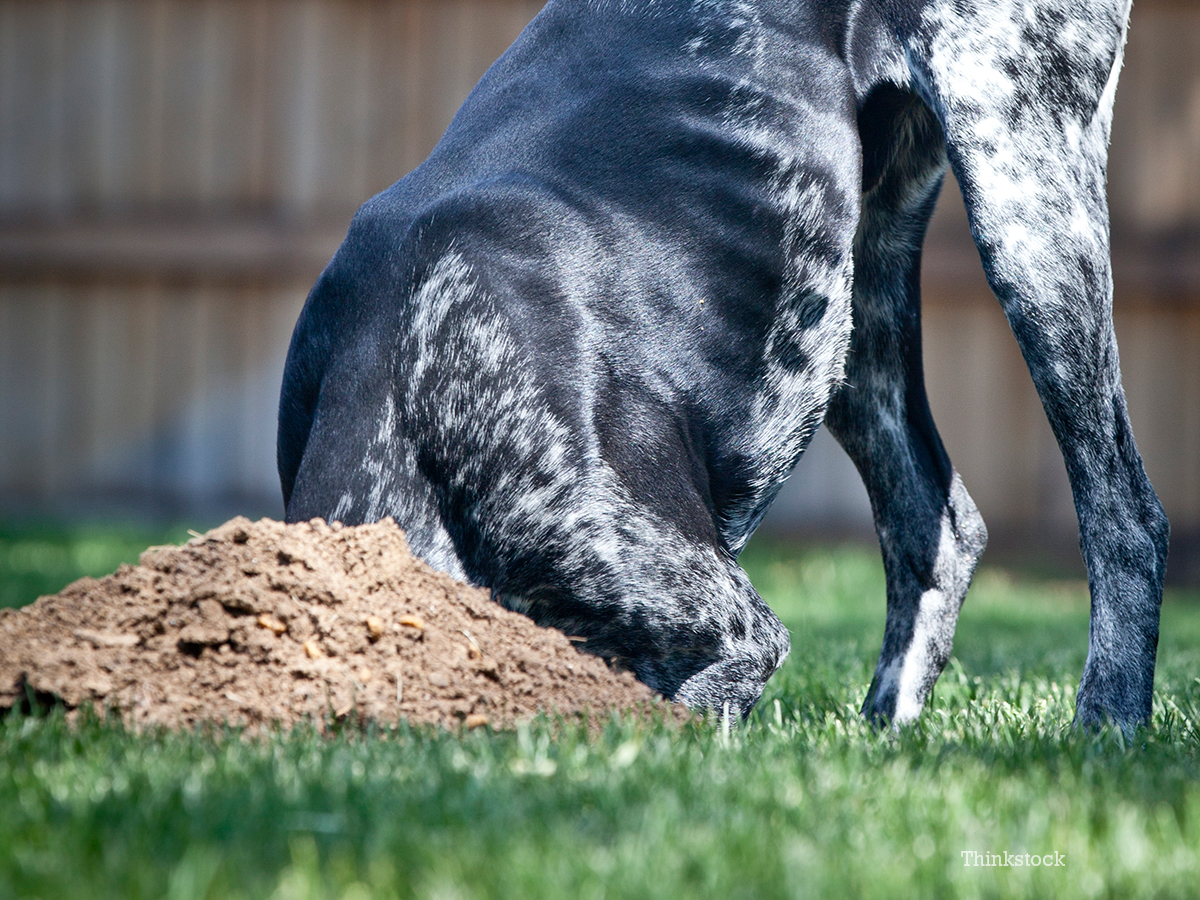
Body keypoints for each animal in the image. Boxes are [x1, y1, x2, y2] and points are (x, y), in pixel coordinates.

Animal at [276, 0, 1166, 734]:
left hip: (1024, 196)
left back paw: (1107, 724)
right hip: (854, 299)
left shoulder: (729, 631)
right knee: (937, 528)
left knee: (1124, 514)